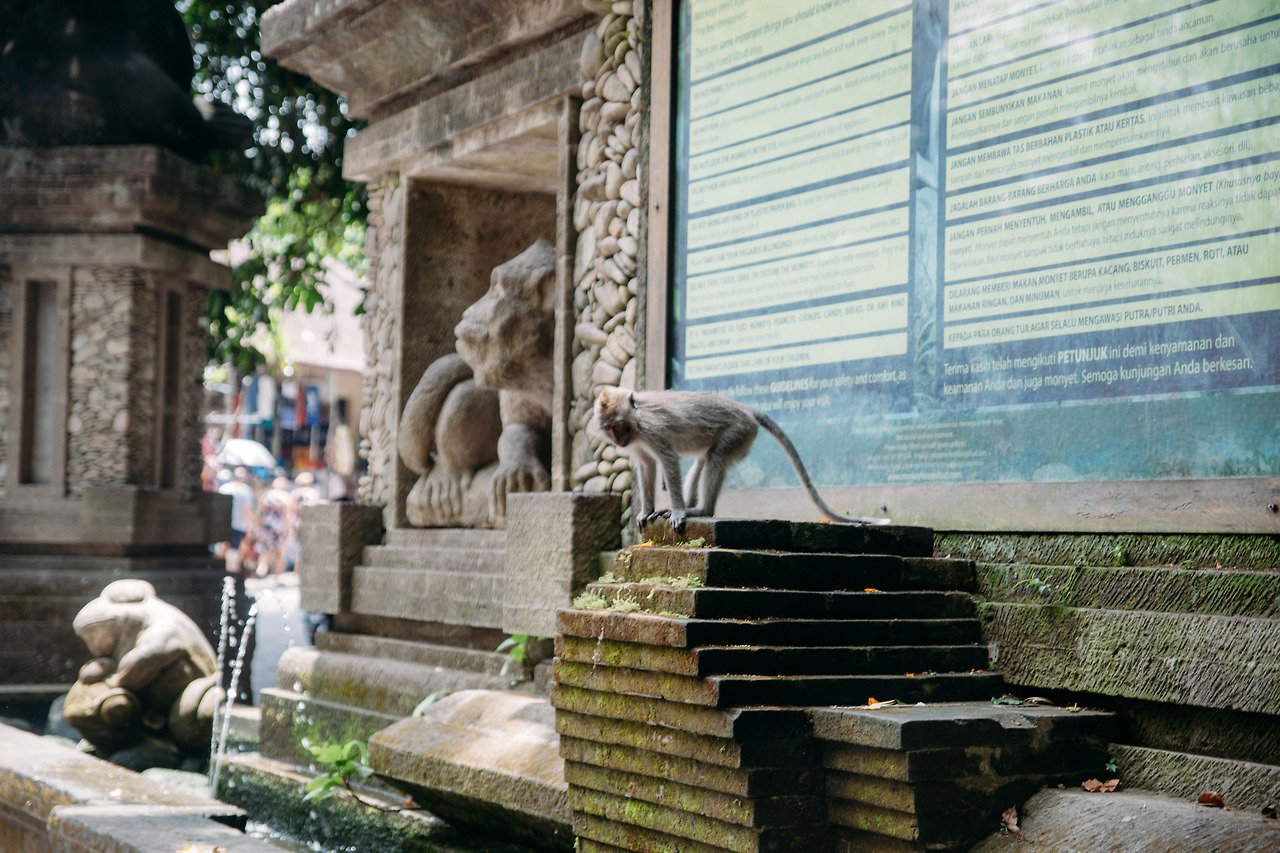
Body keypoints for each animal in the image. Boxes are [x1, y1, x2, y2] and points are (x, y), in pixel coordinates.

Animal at [591, 387, 890, 532]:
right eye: (610, 429)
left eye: (619, 425)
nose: (619, 440)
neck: (636, 420)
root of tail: (745, 408)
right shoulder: (638, 443)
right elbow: (647, 465)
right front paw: (646, 511)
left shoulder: (652, 430)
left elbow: (668, 460)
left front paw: (677, 511)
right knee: (704, 460)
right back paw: (694, 505)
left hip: (739, 432)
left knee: (716, 457)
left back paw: (701, 510)